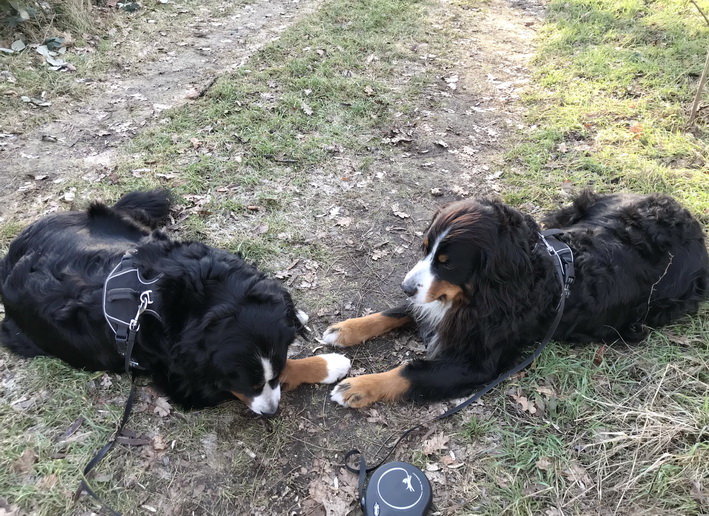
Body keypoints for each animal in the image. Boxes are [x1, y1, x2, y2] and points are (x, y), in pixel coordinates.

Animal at [324, 191, 709, 408]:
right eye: (425, 249)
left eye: (447, 263)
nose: (405, 286)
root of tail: (691, 221)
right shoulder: (437, 302)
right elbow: (396, 312)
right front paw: (346, 329)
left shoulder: (475, 362)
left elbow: (410, 371)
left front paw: (359, 387)